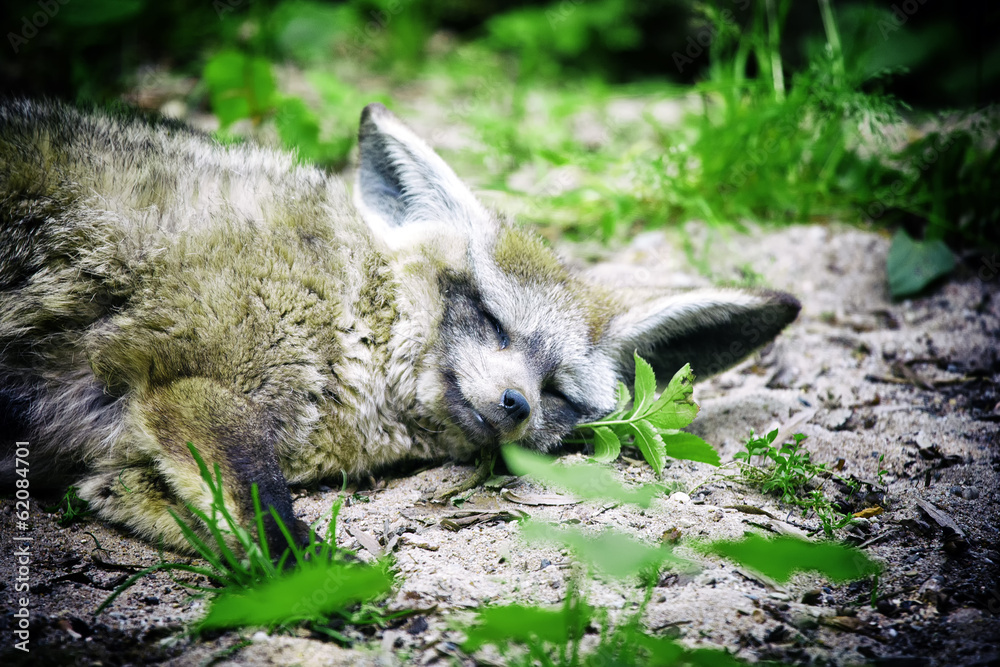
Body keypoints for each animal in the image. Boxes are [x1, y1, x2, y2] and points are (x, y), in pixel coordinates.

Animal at [0, 99, 800, 553]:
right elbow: (275, 528)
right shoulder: (195, 385)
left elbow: (210, 525)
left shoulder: (120, 466)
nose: (516, 404)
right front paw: (324, 583)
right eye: (493, 319)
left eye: (558, 391)